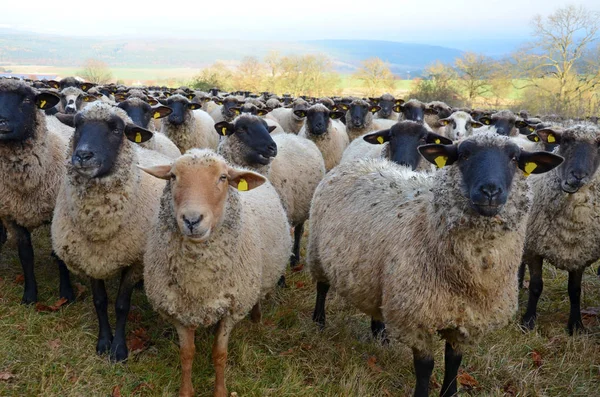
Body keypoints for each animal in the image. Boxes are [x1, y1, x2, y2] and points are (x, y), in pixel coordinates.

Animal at [0, 79, 75, 304]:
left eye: (26, 100)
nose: (1, 122)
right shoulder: (12, 216)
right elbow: (26, 255)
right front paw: (30, 295)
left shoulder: (57, 214)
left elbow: (60, 256)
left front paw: (66, 293)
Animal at [51, 102, 168, 362]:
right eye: (77, 125)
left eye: (116, 130)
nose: (83, 155)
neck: (100, 227)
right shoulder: (90, 258)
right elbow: (100, 301)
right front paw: (104, 342)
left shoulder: (135, 260)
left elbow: (122, 305)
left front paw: (118, 349)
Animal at [216, 114, 326, 274]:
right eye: (241, 129)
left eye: (267, 128)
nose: (273, 147)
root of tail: (294, 135)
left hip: (302, 207)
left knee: (298, 231)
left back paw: (294, 259)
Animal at [308, 133, 564, 396]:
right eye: (464, 155)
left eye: (514, 158)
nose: (490, 191)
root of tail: (355, 163)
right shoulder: (416, 317)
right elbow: (425, 366)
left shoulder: (467, 319)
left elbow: (453, 361)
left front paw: (449, 392)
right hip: (317, 251)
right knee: (322, 287)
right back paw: (319, 321)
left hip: (374, 275)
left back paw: (380, 336)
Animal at [516, 124, 600, 334]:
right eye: (566, 140)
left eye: (599, 145)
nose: (577, 177)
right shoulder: (534, 249)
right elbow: (536, 286)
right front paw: (528, 321)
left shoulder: (580, 254)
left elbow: (575, 291)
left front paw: (576, 325)